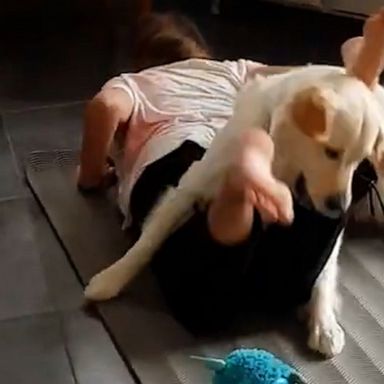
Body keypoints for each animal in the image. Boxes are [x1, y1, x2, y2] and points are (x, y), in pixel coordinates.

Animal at [85, 65, 384, 356]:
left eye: (358, 160)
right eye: (331, 152)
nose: (340, 207)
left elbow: (325, 275)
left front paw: (324, 323)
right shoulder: (187, 189)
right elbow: (144, 246)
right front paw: (111, 278)